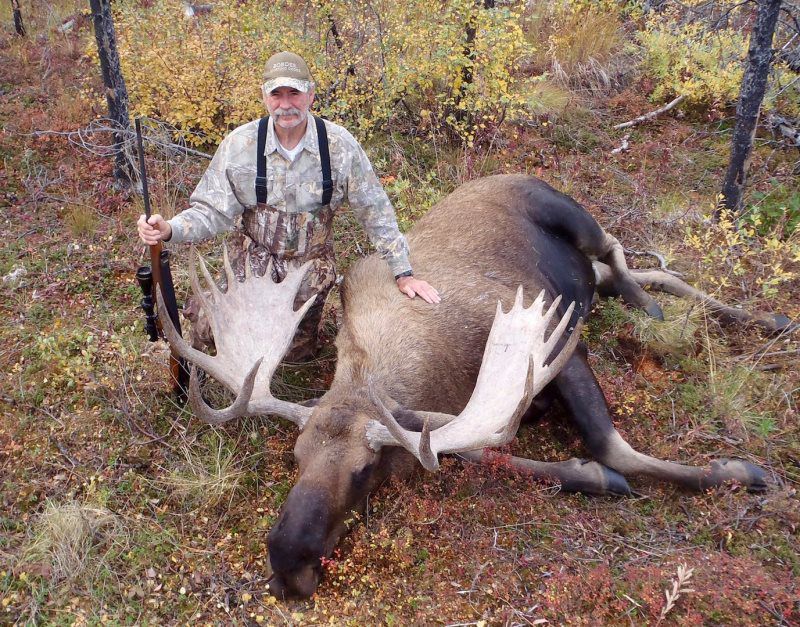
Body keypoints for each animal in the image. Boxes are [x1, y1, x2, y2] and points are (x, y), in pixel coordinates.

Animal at [158, 174, 782, 598]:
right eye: (295, 456)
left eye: (363, 472)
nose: (288, 564)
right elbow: (482, 451)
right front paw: (584, 474)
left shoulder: (560, 347)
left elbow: (613, 446)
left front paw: (740, 472)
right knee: (646, 271)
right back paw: (751, 315)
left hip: (571, 213)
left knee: (618, 251)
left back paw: (674, 308)